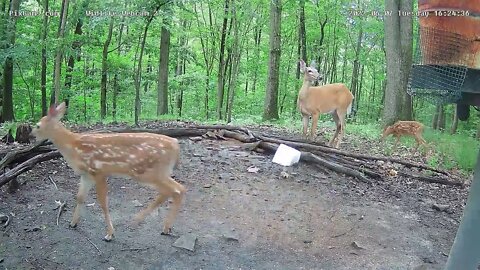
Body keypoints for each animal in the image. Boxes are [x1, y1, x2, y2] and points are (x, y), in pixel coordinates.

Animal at [31, 102, 186, 242]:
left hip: (148, 172)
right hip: (158, 172)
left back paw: (139, 221)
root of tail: (176, 145)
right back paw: (165, 227)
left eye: (38, 125)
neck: (73, 147)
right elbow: (80, 197)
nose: (32, 136)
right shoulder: (86, 174)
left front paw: (109, 234)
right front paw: (73, 223)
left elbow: (103, 203)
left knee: (174, 190)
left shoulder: (99, 172)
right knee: (178, 189)